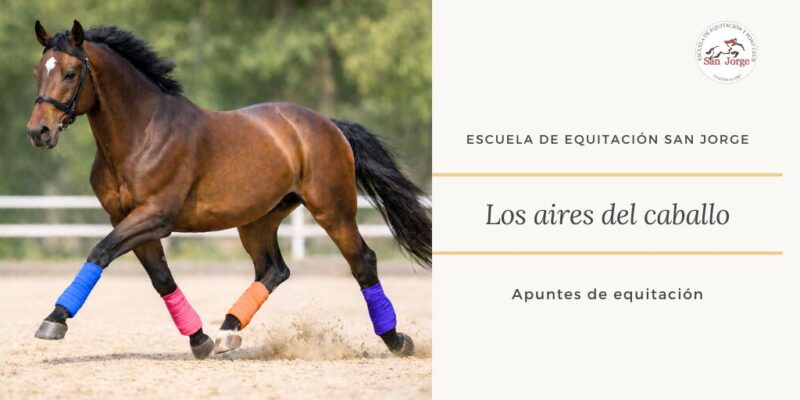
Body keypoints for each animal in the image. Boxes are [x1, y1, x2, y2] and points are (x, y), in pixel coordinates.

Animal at [26, 20, 431, 359]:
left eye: (70, 72)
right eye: (37, 72)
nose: (39, 132)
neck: (142, 132)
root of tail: (327, 124)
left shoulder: (155, 217)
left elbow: (101, 250)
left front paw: (54, 320)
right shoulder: (127, 219)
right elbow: (161, 278)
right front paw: (200, 340)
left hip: (333, 209)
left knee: (362, 261)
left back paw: (396, 340)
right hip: (258, 219)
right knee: (273, 269)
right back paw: (226, 332)